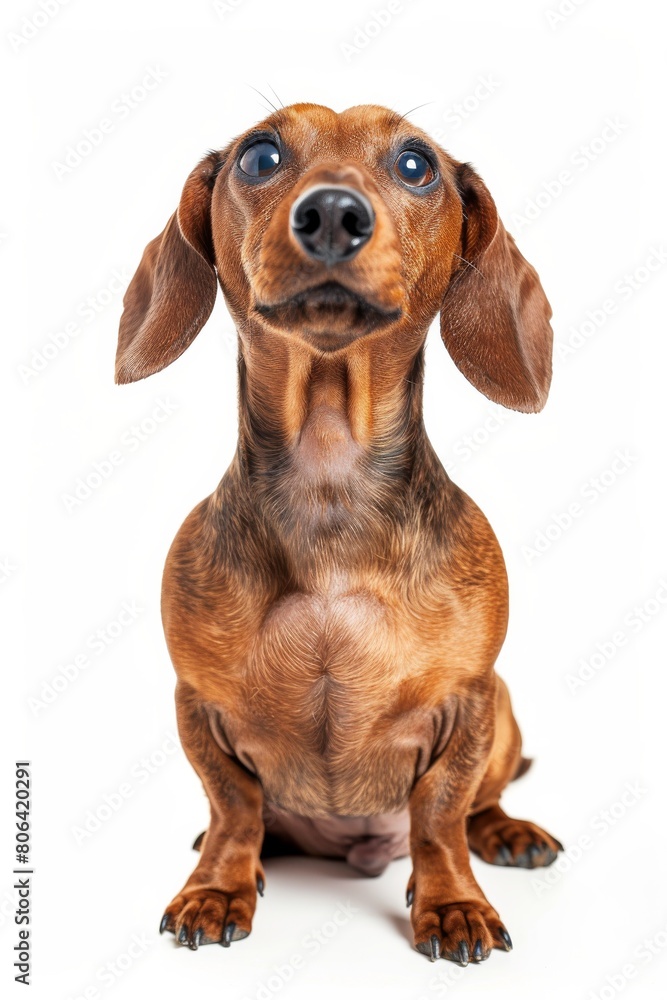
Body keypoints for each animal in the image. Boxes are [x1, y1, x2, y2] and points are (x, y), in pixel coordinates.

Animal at [116, 99, 564, 960]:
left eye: (416, 164)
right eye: (259, 155)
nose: (331, 214)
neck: (329, 485)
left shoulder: (469, 700)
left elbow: (439, 816)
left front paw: (452, 903)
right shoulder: (197, 702)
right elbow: (233, 803)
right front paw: (218, 886)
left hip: (504, 713)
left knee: (479, 803)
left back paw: (506, 832)